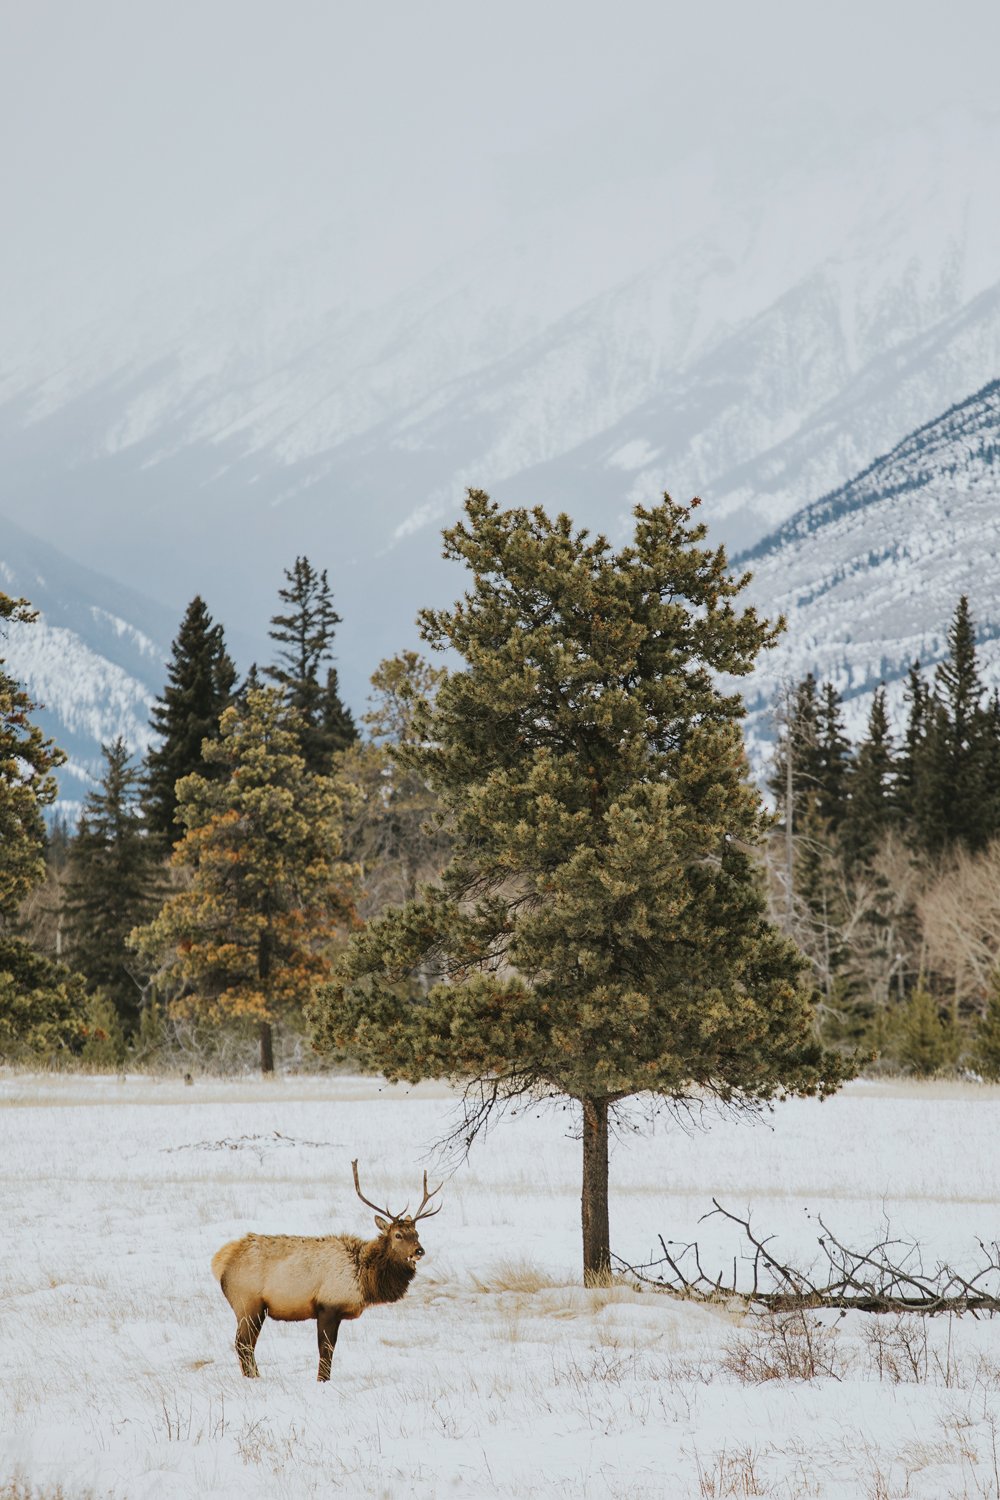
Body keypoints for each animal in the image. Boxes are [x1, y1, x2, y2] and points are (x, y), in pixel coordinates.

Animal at [211, 1158, 440, 1380]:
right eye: (398, 1235)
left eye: (416, 1233)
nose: (419, 1250)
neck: (363, 1277)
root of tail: (221, 1261)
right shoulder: (328, 1306)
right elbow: (326, 1350)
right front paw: (322, 1380)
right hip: (248, 1304)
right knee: (243, 1344)